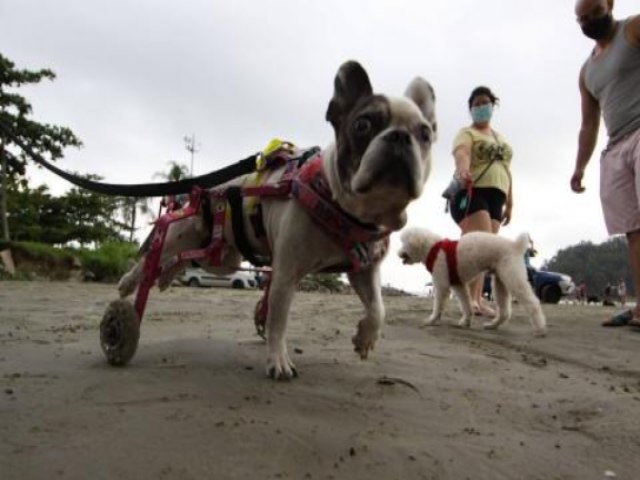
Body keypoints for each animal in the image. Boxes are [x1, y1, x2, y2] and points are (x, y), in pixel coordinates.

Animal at [117, 62, 438, 378]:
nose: (400, 136)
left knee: (185, 260)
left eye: (425, 133)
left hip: (223, 257)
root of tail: (206, 190)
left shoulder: (365, 270)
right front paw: (278, 361)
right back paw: (128, 286)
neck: (346, 208)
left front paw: (365, 339)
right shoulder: (285, 273)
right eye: (363, 125)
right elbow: (278, 319)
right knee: (153, 257)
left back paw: (167, 276)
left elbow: (378, 308)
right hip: (182, 233)